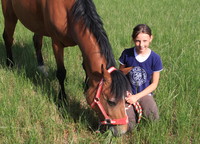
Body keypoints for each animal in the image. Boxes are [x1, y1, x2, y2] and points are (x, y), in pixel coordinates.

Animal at [1, 0, 134, 135]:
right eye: (111, 101)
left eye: (124, 98)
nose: (122, 131)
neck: (68, 10)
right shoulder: (57, 43)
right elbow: (61, 73)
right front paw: (62, 99)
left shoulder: (81, 45)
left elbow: (86, 68)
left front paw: (86, 87)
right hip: (9, 15)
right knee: (8, 37)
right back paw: (10, 64)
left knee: (37, 40)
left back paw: (41, 66)